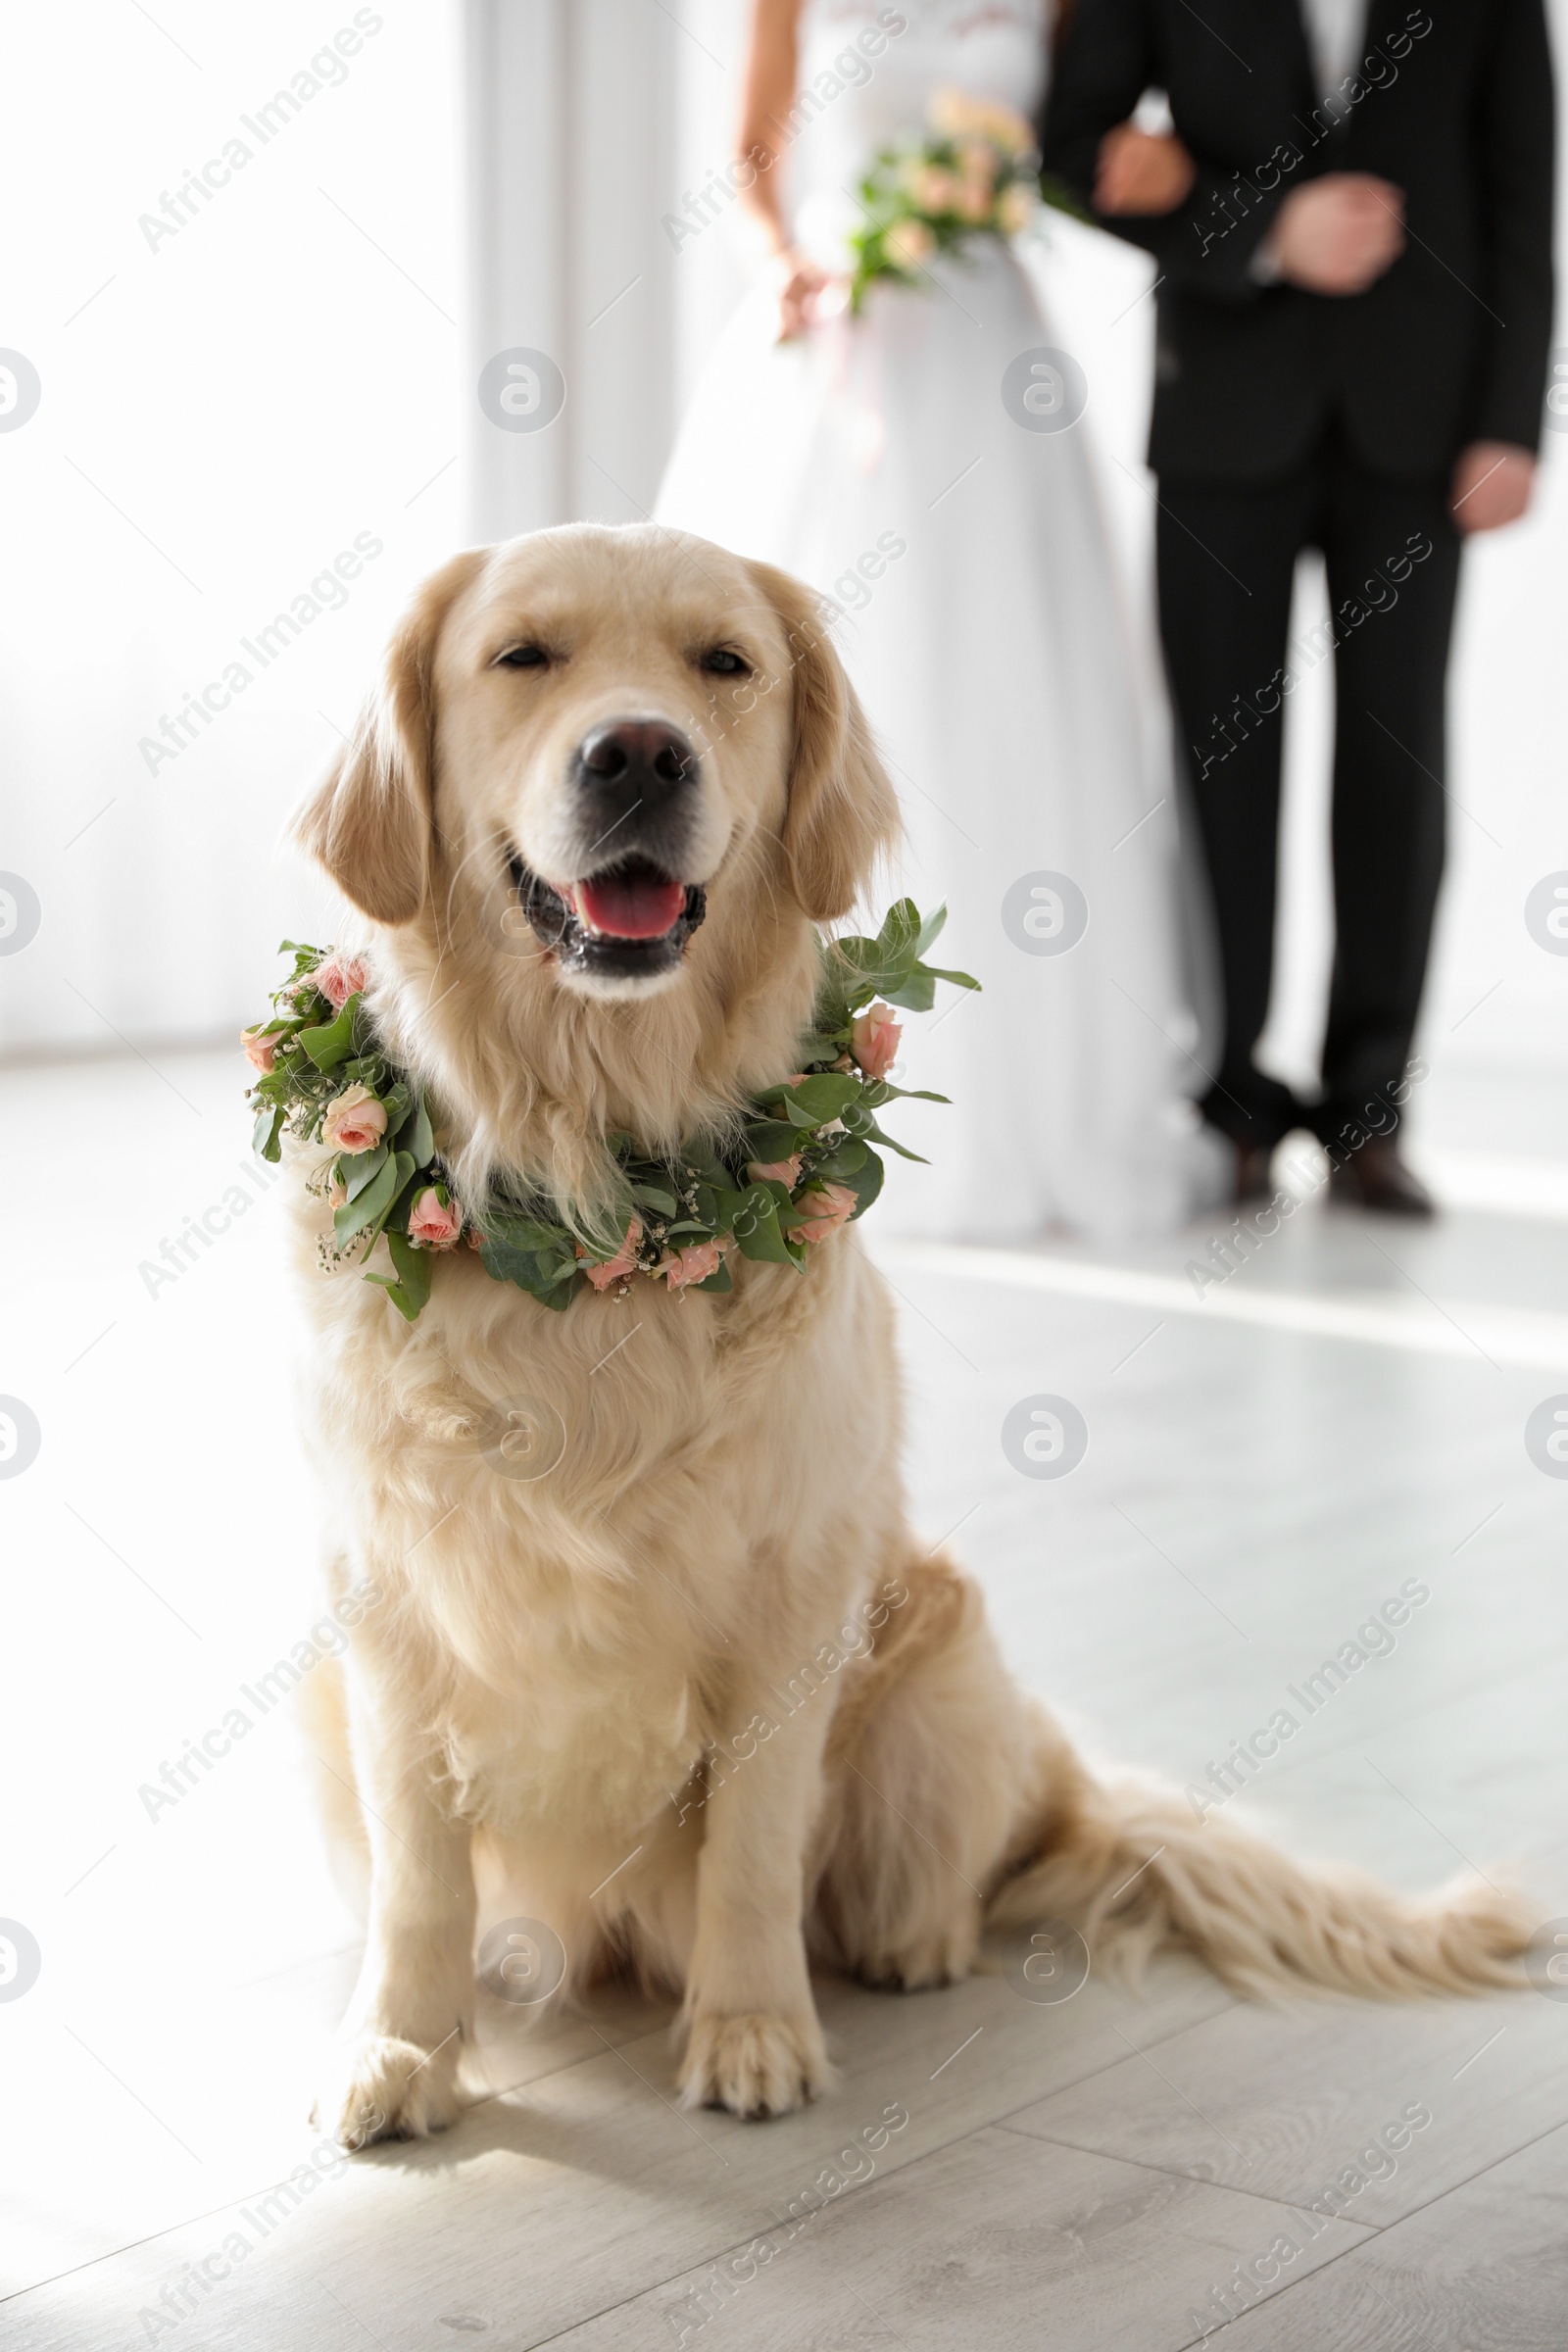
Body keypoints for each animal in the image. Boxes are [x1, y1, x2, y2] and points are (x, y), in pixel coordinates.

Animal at [291, 524, 1533, 2144]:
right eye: (522, 658)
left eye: (725, 664)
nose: (639, 755)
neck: (600, 1195)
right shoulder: (387, 1606)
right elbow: (423, 1874)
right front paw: (403, 2049)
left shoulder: (788, 1597)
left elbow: (755, 1848)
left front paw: (752, 2034)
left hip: (937, 1656)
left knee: (955, 1874)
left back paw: (914, 1943)